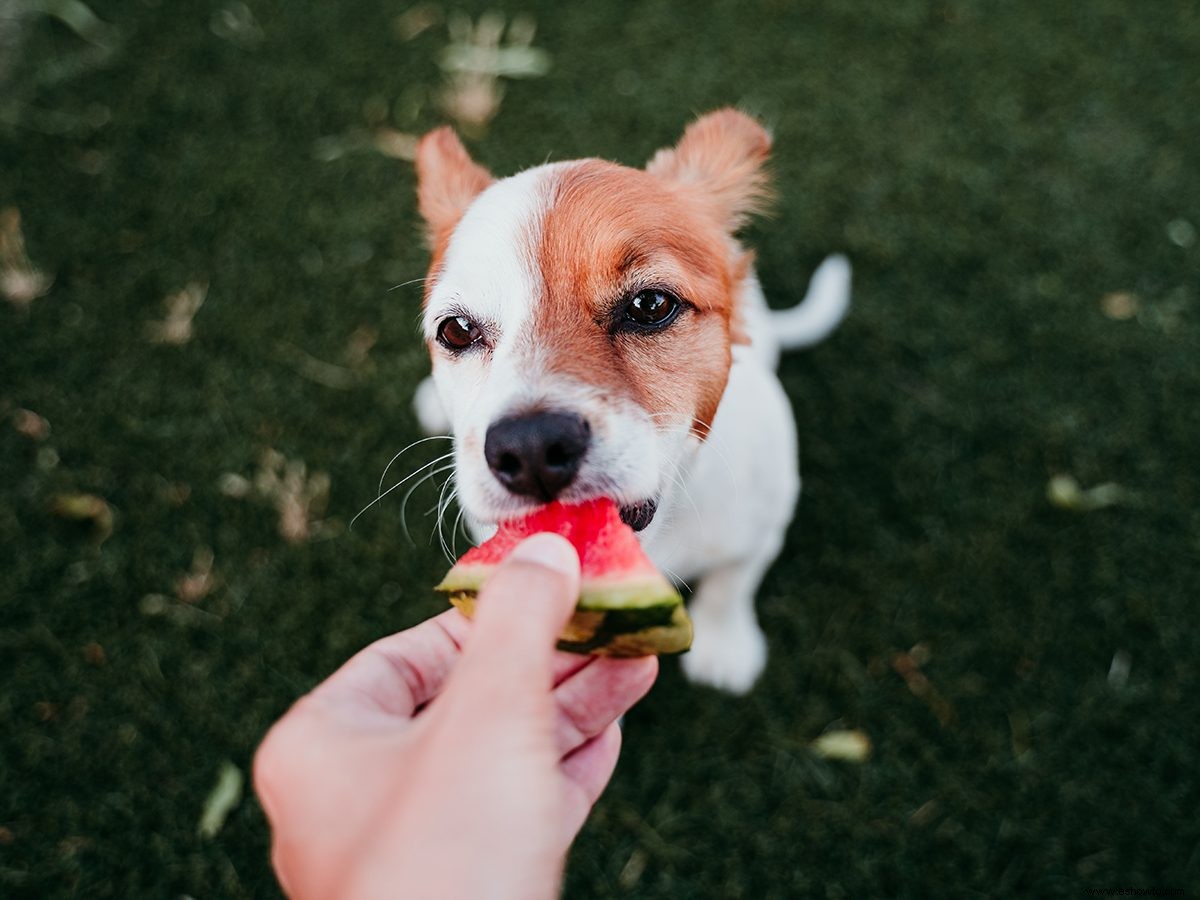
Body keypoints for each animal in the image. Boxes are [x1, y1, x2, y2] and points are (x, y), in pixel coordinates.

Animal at [408, 109, 849, 696]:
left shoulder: (762, 526)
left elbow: (730, 585)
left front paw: (726, 646)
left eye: (651, 304)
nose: (530, 448)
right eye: (456, 330)